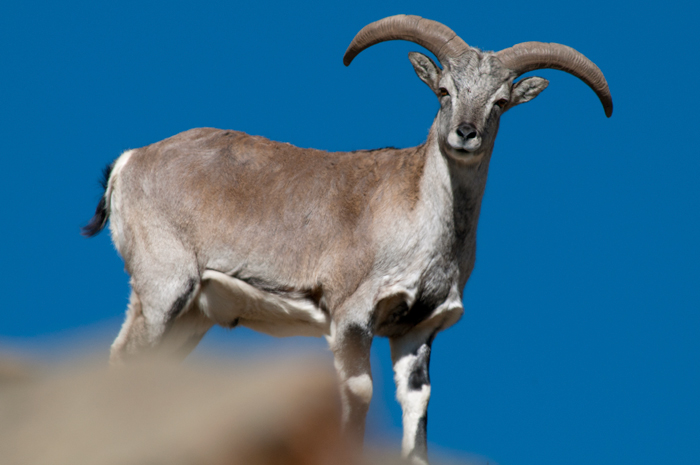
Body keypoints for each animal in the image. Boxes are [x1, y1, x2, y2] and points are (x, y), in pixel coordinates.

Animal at [83, 14, 612, 464]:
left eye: (500, 101)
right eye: (443, 90)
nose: (466, 134)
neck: (418, 222)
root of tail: (129, 161)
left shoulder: (416, 333)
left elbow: (416, 408)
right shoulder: (351, 318)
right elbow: (358, 395)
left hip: (192, 312)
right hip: (165, 287)